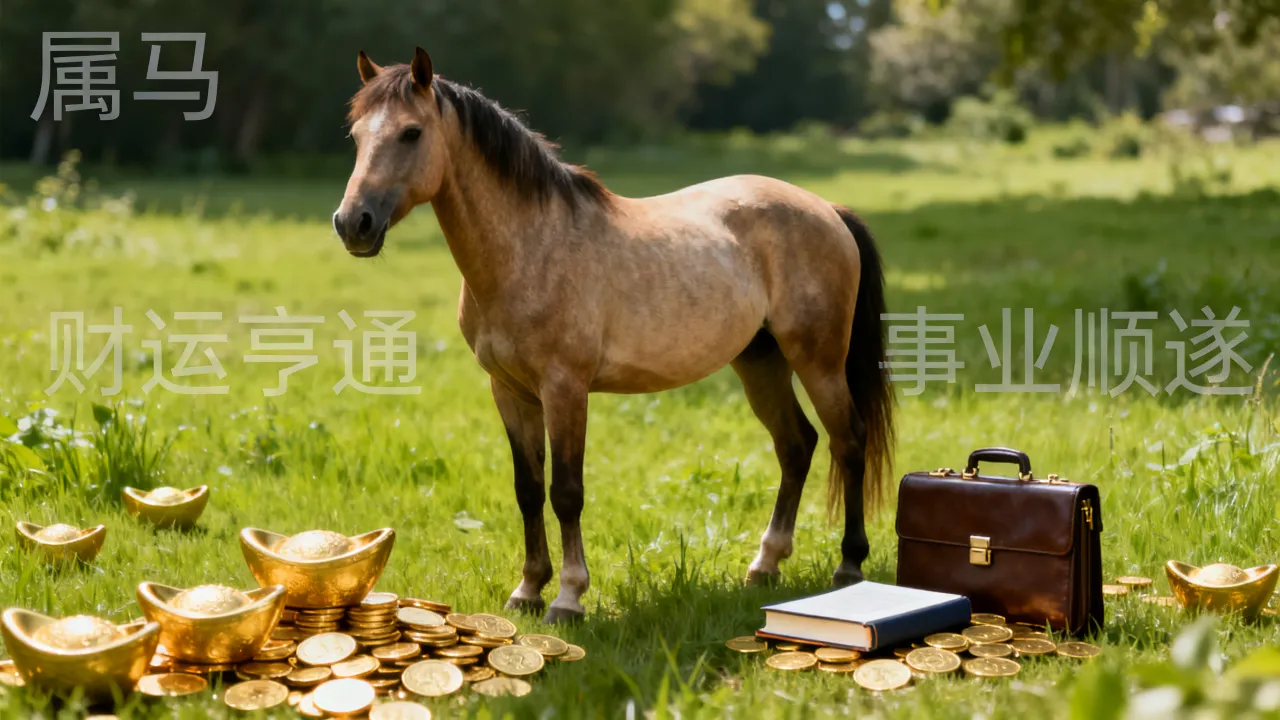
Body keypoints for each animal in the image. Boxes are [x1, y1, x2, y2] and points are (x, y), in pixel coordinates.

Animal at [333, 48, 894, 624]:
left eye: (411, 133)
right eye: (356, 135)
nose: (353, 223)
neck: (530, 247)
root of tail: (828, 210)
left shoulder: (565, 389)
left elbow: (566, 491)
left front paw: (568, 598)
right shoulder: (509, 391)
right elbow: (528, 489)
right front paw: (526, 591)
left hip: (817, 360)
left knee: (848, 441)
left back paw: (848, 566)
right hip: (760, 361)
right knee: (796, 445)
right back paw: (764, 565)